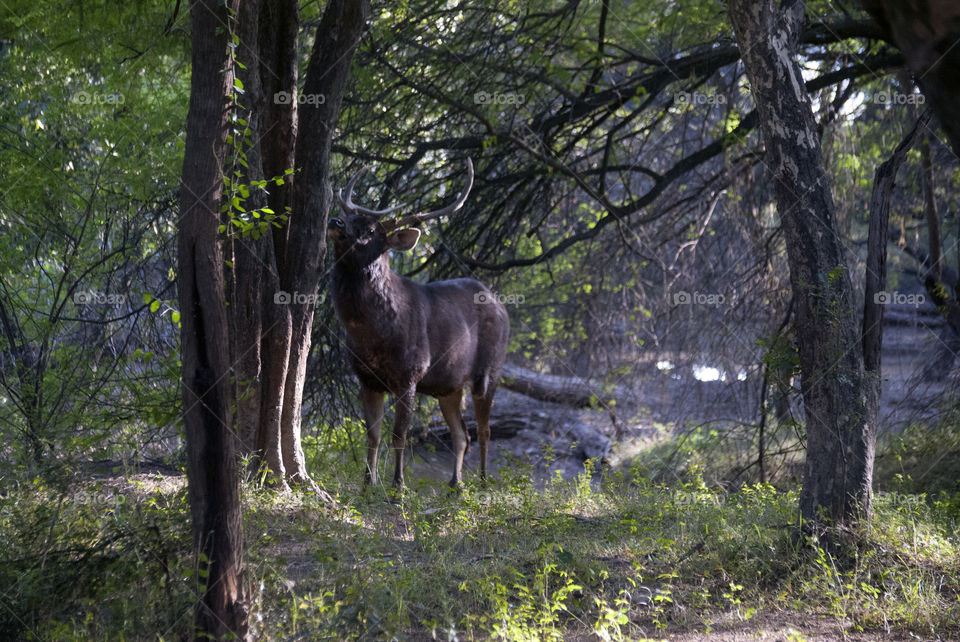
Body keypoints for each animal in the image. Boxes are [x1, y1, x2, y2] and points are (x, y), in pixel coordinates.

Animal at [327, 158, 510, 489]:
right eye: (350, 217)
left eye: (370, 229)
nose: (335, 221)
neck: (371, 334)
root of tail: (501, 306)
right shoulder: (366, 377)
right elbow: (372, 434)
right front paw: (368, 483)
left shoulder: (410, 373)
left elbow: (399, 435)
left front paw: (398, 484)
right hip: (449, 386)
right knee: (462, 434)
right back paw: (455, 485)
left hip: (489, 371)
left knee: (484, 431)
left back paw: (482, 483)